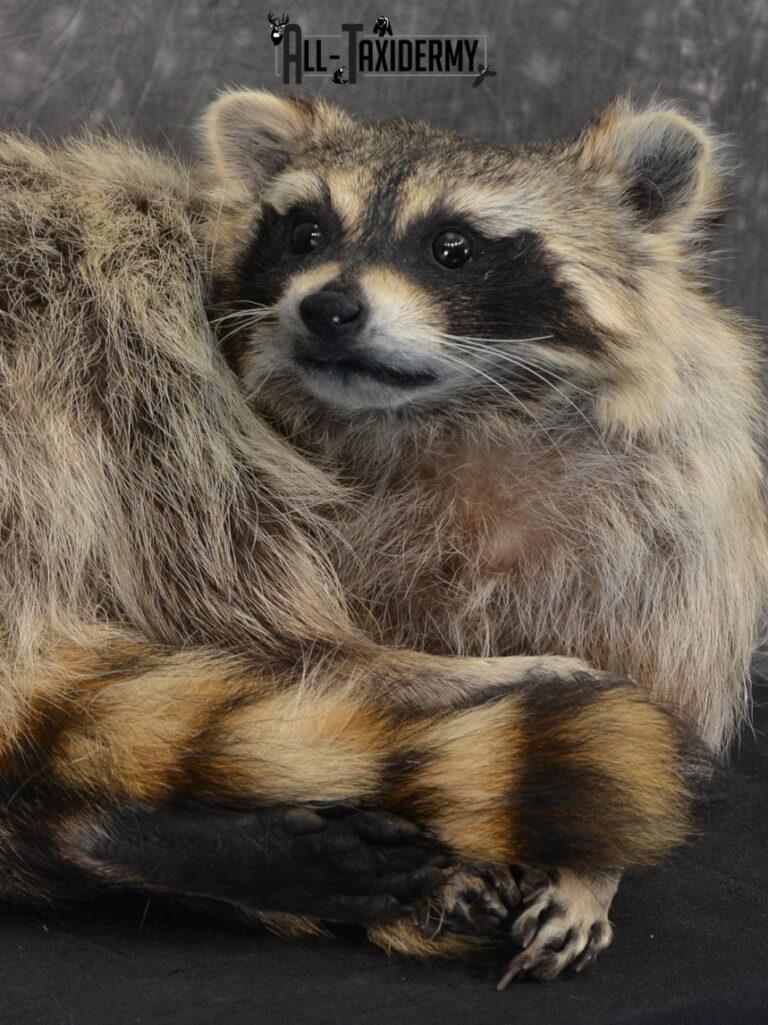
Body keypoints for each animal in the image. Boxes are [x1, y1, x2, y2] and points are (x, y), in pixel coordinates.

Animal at [205, 90, 768, 979]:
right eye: (307, 235)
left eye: (453, 249)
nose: (328, 307)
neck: (454, 410)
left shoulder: (676, 514)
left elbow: (652, 701)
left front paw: (590, 865)